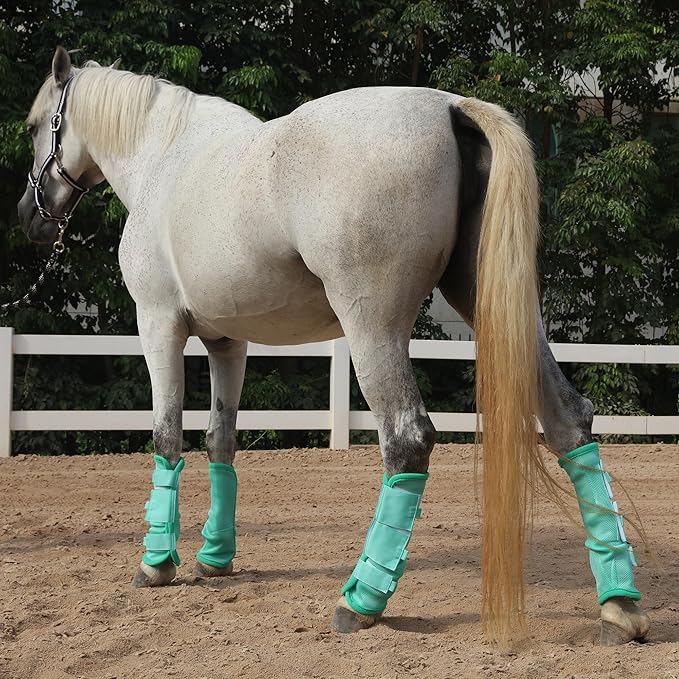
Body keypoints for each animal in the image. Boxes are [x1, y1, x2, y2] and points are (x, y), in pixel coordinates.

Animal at [17, 46, 650, 647]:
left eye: (34, 126)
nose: (29, 218)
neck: (164, 159)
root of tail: (450, 107)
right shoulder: (227, 342)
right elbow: (221, 440)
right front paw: (215, 559)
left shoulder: (158, 326)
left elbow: (167, 437)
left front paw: (156, 565)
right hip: (501, 308)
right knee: (568, 419)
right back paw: (619, 606)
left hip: (373, 329)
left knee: (407, 440)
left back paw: (361, 601)